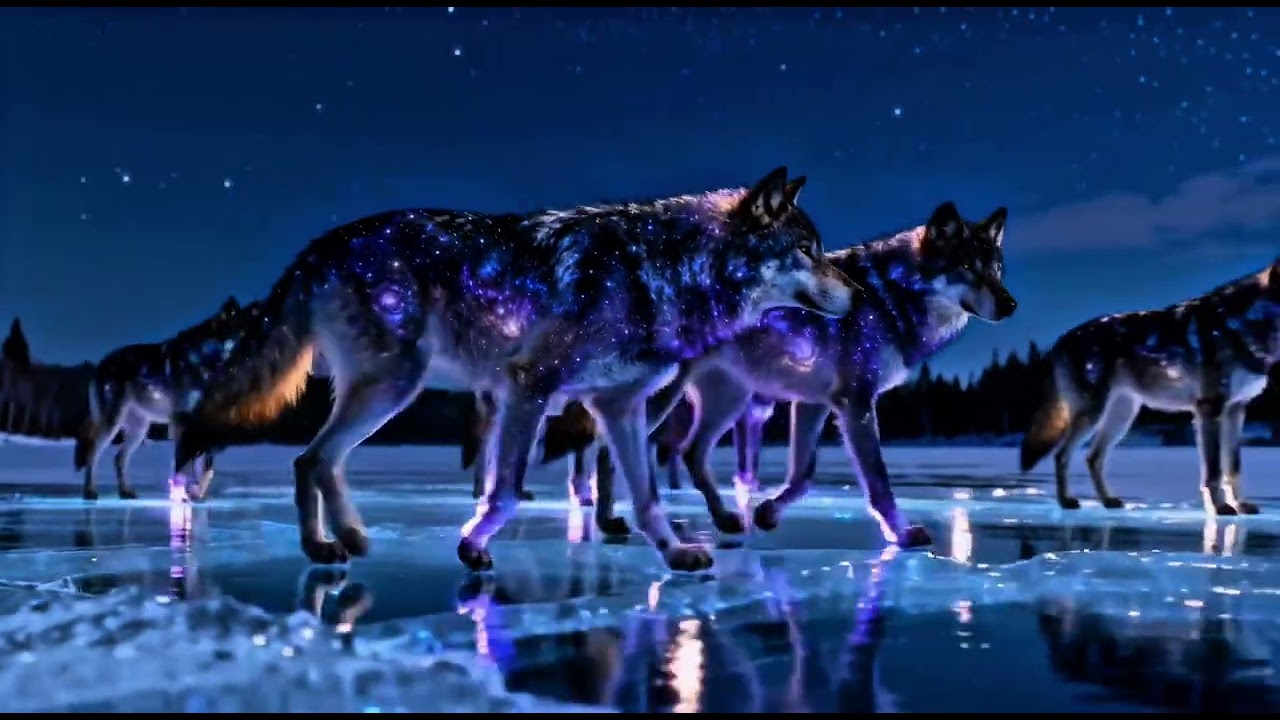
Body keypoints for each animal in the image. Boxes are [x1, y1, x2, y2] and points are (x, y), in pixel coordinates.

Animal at [74, 297, 248, 501]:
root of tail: (102, 363)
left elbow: (205, 469)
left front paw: (197, 495)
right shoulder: (182, 425)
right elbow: (184, 466)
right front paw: (181, 495)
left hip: (139, 429)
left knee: (118, 458)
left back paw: (125, 491)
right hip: (112, 425)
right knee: (92, 455)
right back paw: (89, 491)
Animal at [175, 166, 859, 573]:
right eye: (808, 251)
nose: (857, 298)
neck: (665, 270)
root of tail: (318, 247)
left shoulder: (619, 407)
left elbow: (645, 496)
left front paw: (673, 551)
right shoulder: (529, 388)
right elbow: (504, 490)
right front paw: (473, 543)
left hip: (387, 391)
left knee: (317, 461)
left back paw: (346, 539)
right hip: (393, 387)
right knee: (310, 459)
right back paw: (322, 546)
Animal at [640, 201, 1015, 547]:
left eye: (996, 269)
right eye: (966, 266)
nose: (1010, 304)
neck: (892, 296)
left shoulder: (814, 403)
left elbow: (803, 476)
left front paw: (767, 512)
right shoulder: (857, 402)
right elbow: (878, 481)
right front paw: (902, 534)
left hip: (730, 401)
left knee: (690, 452)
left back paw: (724, 519)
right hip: (672, 400)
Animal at [1020, 259, 1280, 515]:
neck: (1242, 325)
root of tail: (1062, 339)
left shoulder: (1236, 410)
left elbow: (1233, 467)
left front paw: (1241, 505)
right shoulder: (1210, 409)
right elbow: (1214, 471)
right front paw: (1221, 507)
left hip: (1121, 417)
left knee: (1092, 458)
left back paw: (1108, 501)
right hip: (1093, 415)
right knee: (1061, 455)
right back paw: (1066, 501)